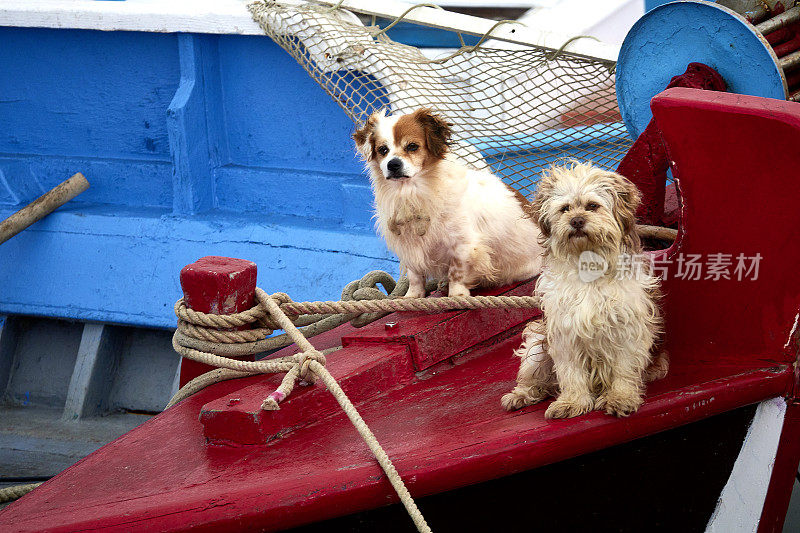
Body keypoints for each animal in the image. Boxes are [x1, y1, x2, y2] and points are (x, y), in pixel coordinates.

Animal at [354, 108, 544, 298]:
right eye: (382, 150)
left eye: (412, 146)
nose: (393, 164)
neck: (411, 193)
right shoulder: (409, 247)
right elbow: (415, 276)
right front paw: (412, 297)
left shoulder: (463, 244)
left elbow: (456, 273)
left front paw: (456, 295)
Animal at [504, 160, 664, 418]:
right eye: (565, 209)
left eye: (592, 206)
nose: (577, 221)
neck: (587, 262)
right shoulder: (564, 330)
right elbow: (571, 372)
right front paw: (571, 401)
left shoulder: (628, 325)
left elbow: (624, 366)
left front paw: (621, 397)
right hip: (537, 345)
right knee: (537, 378)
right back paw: (522, 394)